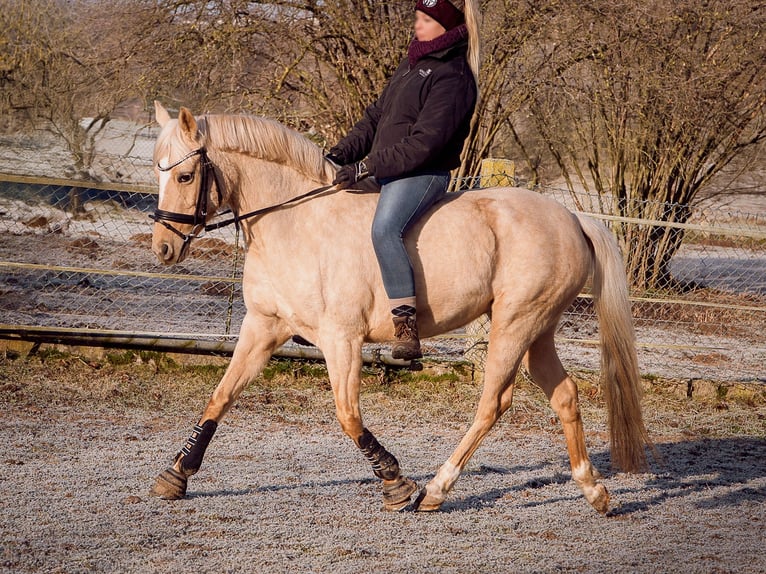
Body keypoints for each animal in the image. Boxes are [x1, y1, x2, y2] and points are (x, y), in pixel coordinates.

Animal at [147, 101, 650, 514]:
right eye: (159, 172)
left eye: (185, 176)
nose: (164, 249)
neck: (295, 224)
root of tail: (571, 217)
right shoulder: (263, 327)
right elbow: (221, 396)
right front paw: (176, 475)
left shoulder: (341, 339)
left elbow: (348, 414)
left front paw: (394, 482)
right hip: (535, 330)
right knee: (564, 395)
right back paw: (594, 491)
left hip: (516, 324)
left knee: (493, 403)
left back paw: (435, 491)